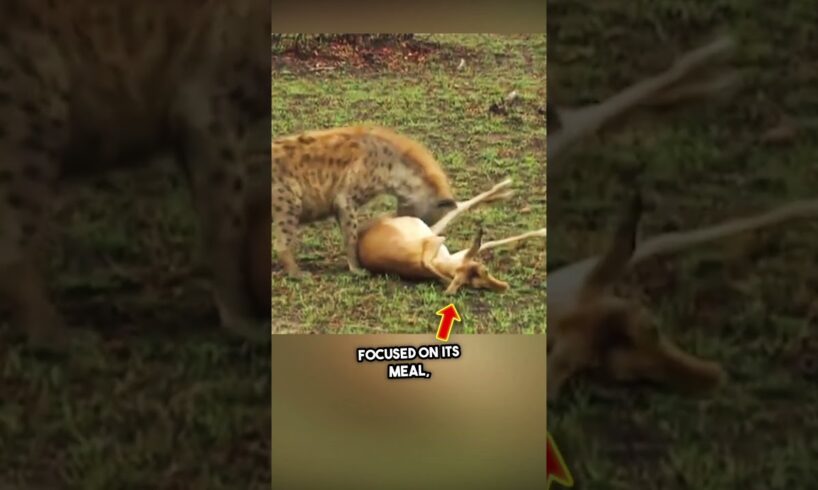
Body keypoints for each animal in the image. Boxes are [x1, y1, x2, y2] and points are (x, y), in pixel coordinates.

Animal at [357, 178, 546, 294]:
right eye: (479, 283)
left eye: (486, 272)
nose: (504, 287)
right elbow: (488, 242)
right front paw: (542, 231)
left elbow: (489, 243)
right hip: (426, 227)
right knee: (460, 207)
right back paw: (504, 189)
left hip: (427, 228)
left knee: (459, 206)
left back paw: (504, 191)